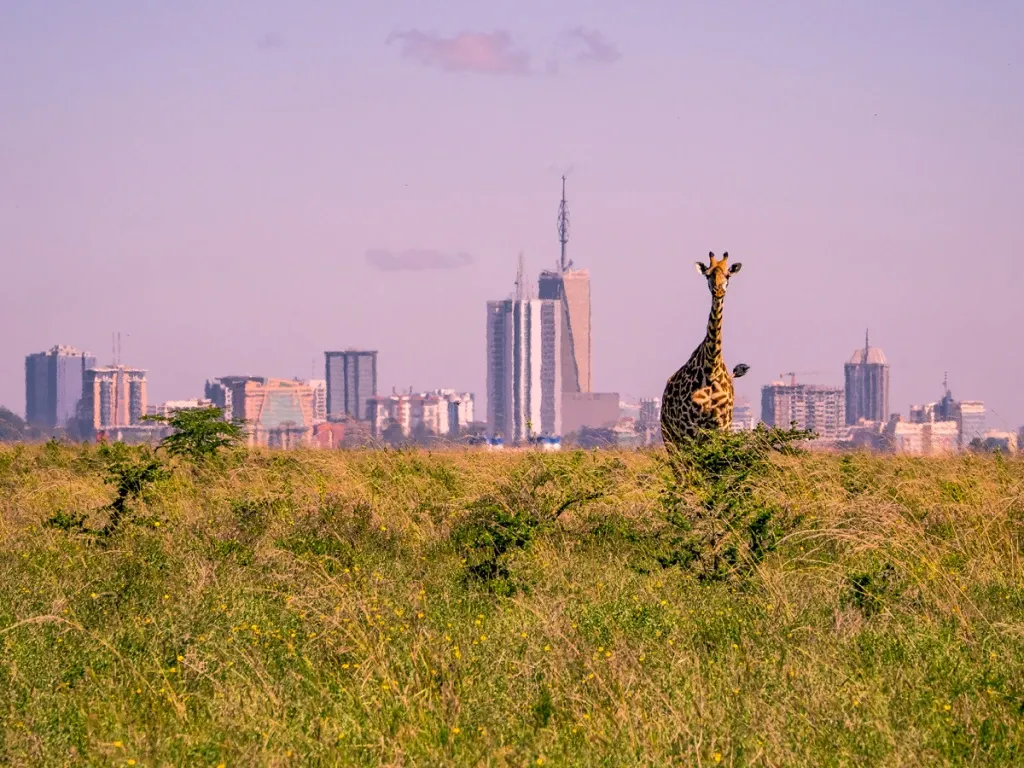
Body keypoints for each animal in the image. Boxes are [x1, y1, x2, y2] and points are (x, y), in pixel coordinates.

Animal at [660, 251, 749, 451]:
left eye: (728, 275)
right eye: (708, 274)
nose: (718, 291)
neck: (711, 368)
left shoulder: (722, 428)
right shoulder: (690, 430)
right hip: (670, 437)